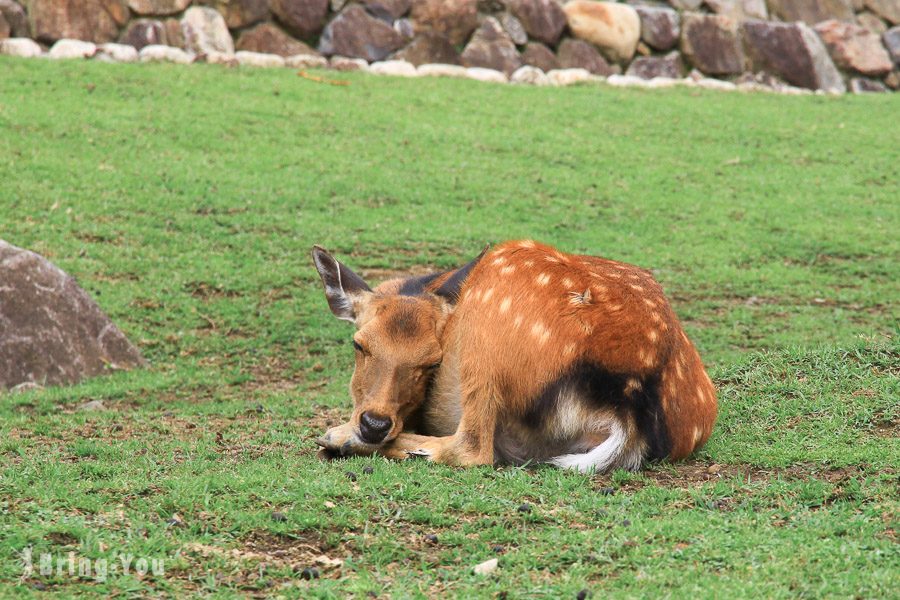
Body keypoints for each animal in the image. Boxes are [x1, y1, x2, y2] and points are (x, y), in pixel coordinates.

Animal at [312, 240, 716, 474]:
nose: (374, 424)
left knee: (474, 448)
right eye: (360, 344)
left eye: (432, 362)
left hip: (485, 334)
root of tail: (631, 403)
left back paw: (341, 438)